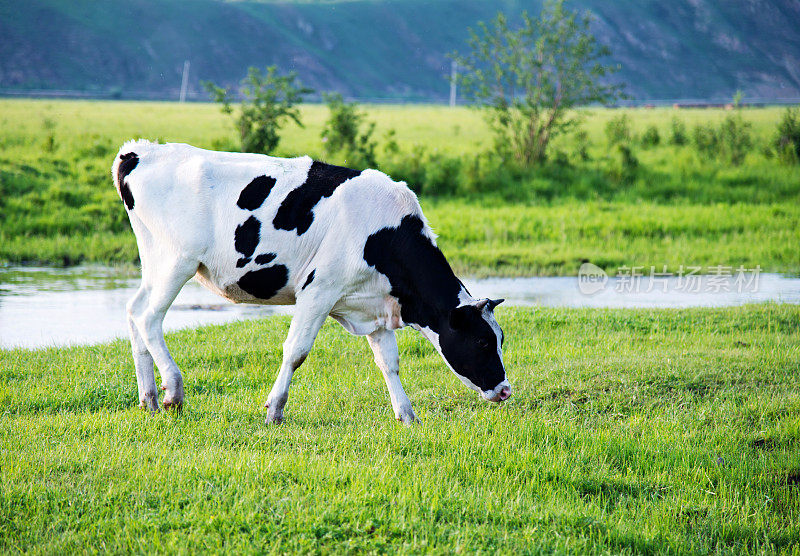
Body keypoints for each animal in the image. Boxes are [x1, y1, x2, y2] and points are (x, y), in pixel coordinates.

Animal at [113, 141, 512, 424]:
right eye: (481, 341)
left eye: (501, 338)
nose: (506, 390)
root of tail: (141, 149)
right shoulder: (318, 291)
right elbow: (296, 351)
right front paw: (274, 410)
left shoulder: (375, 307)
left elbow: (389, 362)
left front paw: (406, 415)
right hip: (177, 261)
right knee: (149, 317)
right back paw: (173, 391)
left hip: (154, 260)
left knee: (133, 312)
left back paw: (149, 399)